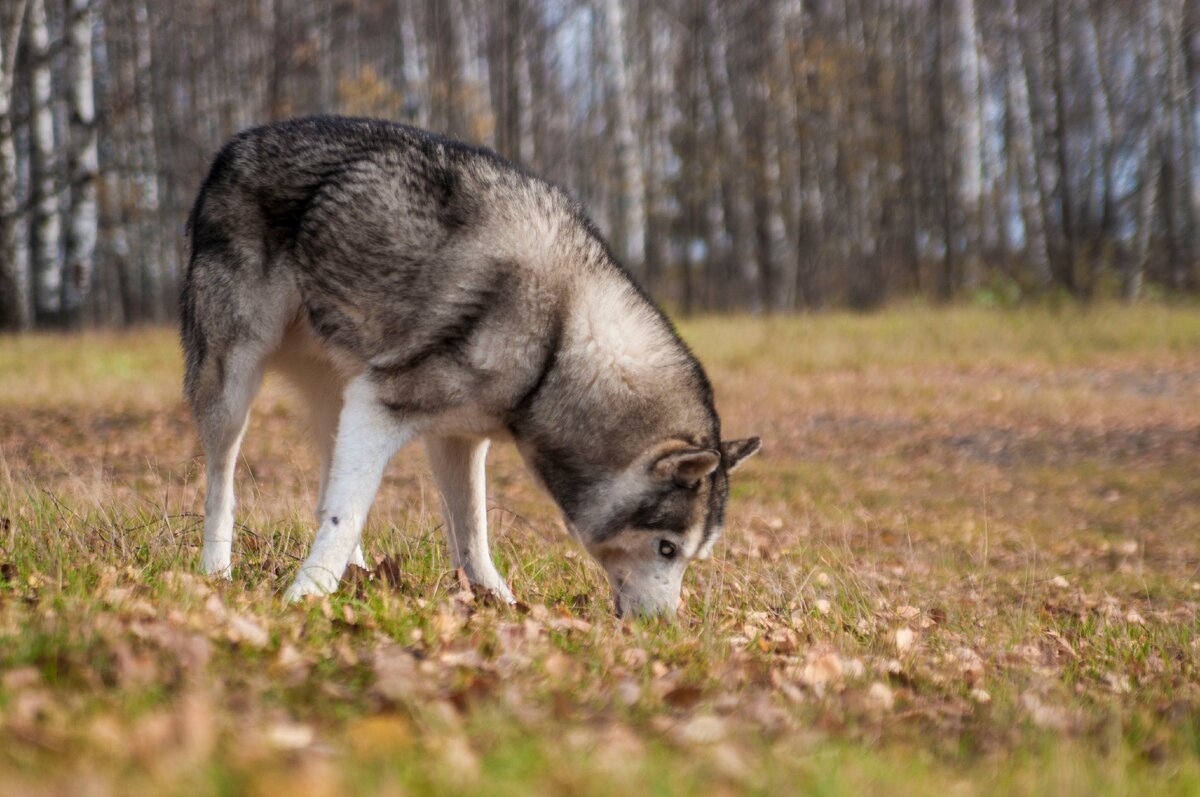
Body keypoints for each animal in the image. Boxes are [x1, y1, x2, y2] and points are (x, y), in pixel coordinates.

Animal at [180, 117, 758, 614]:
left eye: (690, 556)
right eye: (667, 549)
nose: (665, 627)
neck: (557, 340)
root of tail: (235, 144)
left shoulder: (457, 438)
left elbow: (471, 531)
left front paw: (496, 603)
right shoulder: (379, 406)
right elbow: (348, 515)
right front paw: (305, 598)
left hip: (335, 403)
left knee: (327, 489)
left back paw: (358, 579)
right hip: (234, 387)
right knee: (222, 485)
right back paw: (217, 572)